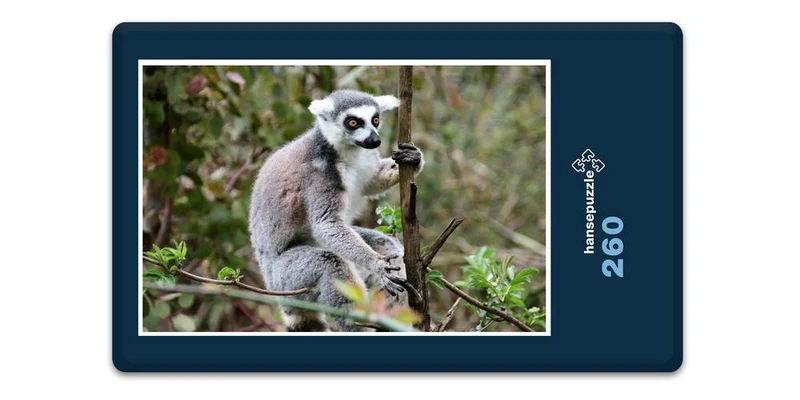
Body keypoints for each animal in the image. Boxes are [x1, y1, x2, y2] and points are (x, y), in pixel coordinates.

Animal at [248, 89, 424, 332]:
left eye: (375, 120)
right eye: (353, 122)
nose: (374, 140)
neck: (345, 151)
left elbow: (372, 182)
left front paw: (413, 158)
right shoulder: (319, 174)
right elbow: (327, 224)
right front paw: (377, 264)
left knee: (386, 245)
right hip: (286, 278)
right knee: (331, 264)